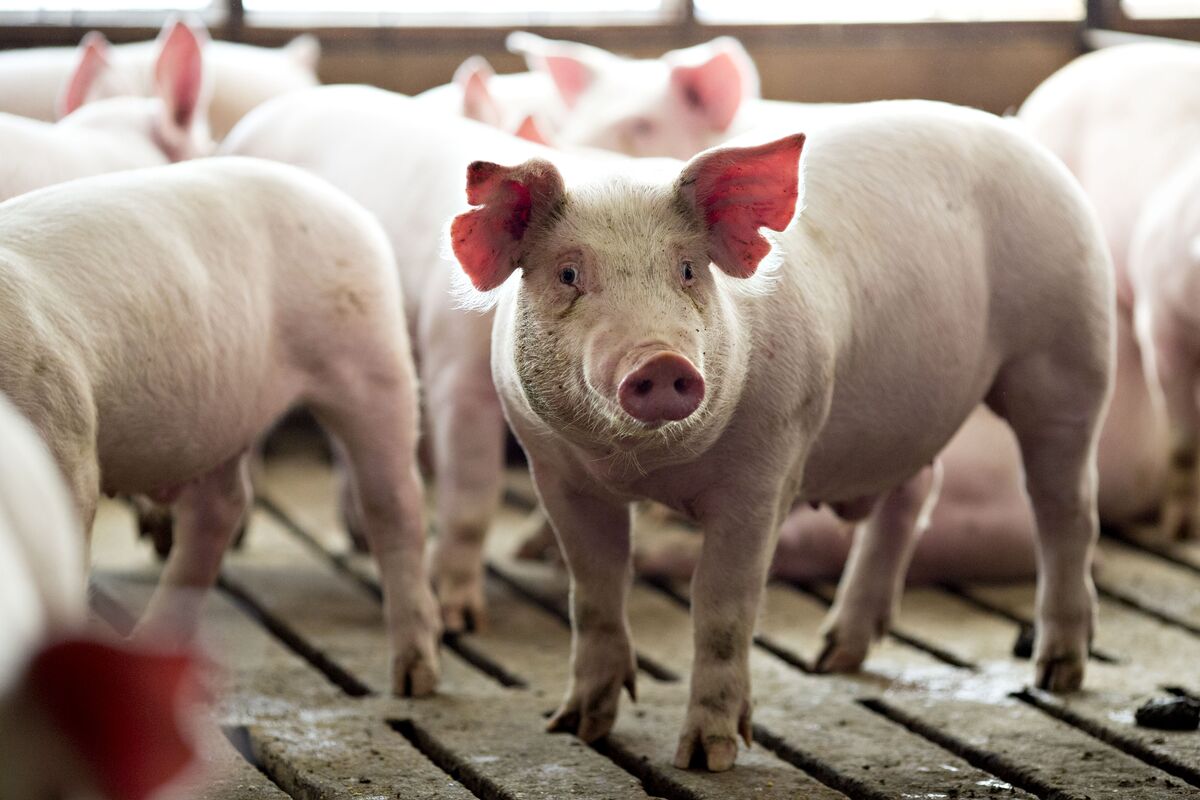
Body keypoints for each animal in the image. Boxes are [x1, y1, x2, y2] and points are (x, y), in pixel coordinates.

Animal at [0, 156, 439, 696]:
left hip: (370, 356)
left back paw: (414, 679)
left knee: (396, 504)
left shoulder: (61, 425)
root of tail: (349, 208)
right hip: (223, 415)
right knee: (221, 507)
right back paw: (151, 645)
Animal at [452, 102, 1113, 770]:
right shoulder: (557, 475)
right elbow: (593, 594)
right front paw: (574, 728)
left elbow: (723, 607)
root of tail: (1019, 136)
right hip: (901, 419)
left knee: (1067, 507)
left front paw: (707, 757)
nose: (660, 362)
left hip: (1068, 355)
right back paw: (833, 658)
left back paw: (1057, 674)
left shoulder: (765, 472)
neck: (646, 471)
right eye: (568, 273)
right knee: (918, 487)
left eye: (688, 270)